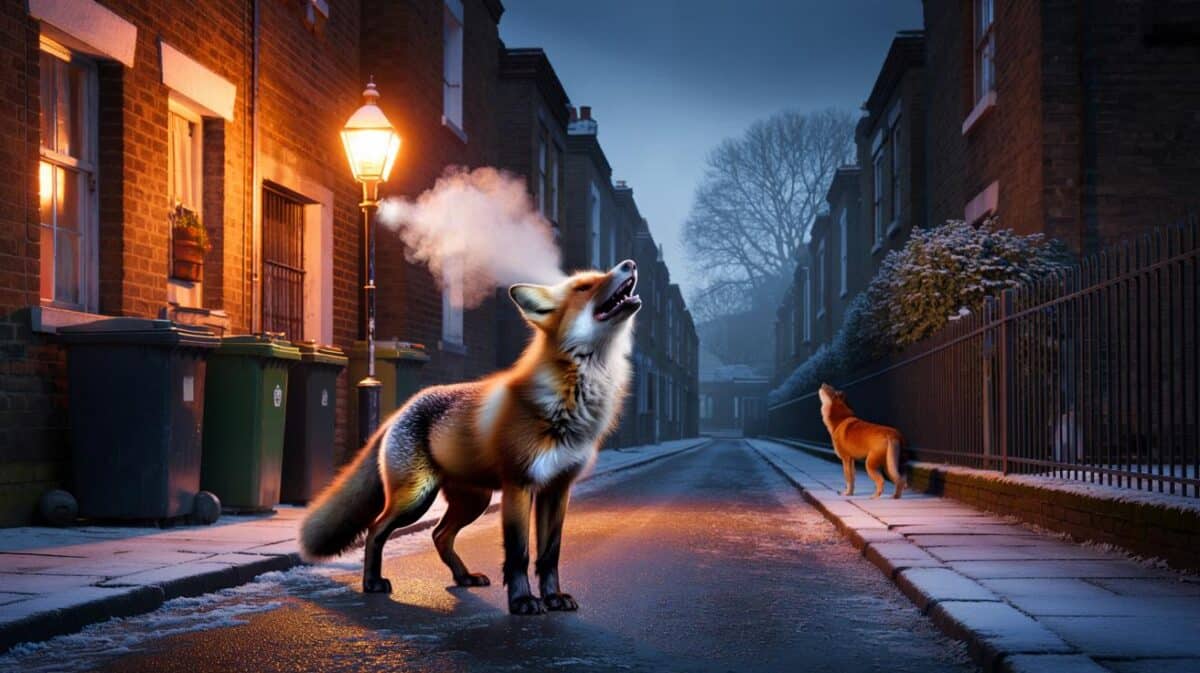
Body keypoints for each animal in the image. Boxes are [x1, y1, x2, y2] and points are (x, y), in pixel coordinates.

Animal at [299, 260, 642, 615]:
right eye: (584, 287)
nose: (629, 264)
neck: (571, 398)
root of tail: (399, 410)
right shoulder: (519, 484)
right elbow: (519, 553)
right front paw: (522, 601)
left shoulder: (558, 488)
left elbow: (550, 554)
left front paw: (553, 597)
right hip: (416, 498)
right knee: (375, 529)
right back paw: (372, 583)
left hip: (473, 501)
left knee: (440, 535)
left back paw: (463, 578)